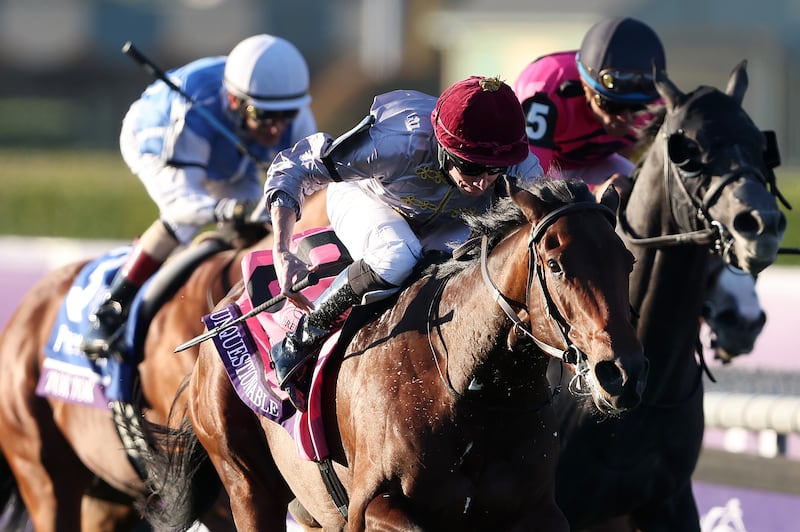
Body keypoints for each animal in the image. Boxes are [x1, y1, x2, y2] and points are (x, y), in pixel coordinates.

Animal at [141, 180, 648, 532]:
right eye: (556, 264)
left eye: (627, 261)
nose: (621, 374)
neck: (465, 387)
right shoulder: (372, 507)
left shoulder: (537, 510)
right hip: (247, 486)